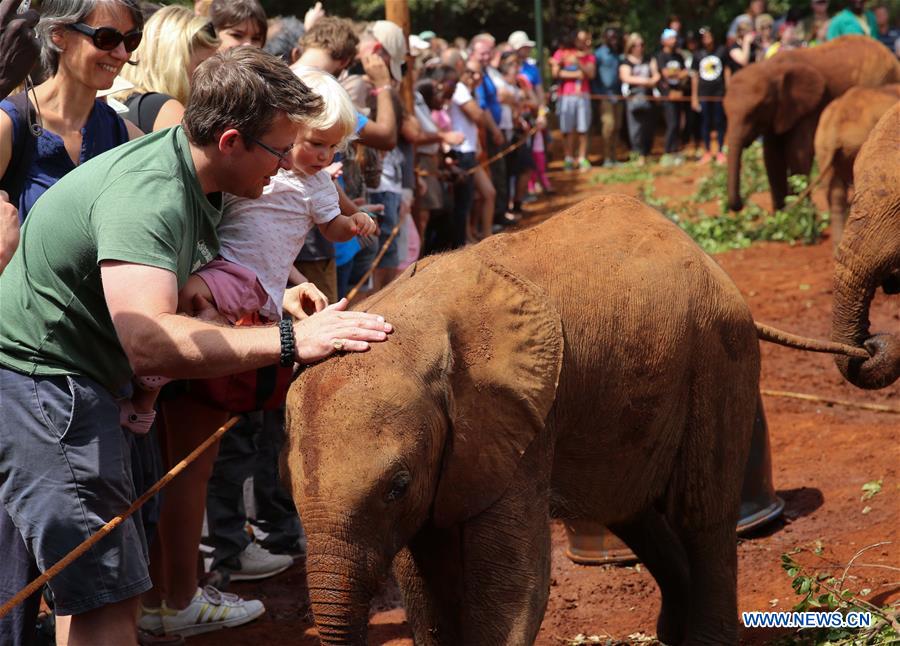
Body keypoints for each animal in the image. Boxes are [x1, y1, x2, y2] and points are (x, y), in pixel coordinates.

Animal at [286, 196, 760, 646]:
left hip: (718, 353)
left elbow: (511, 583)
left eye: (397, 487)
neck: (405, 327)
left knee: (702, 514)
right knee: (627, 509)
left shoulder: (513, 418)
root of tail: (693, 246)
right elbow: (423, 577)